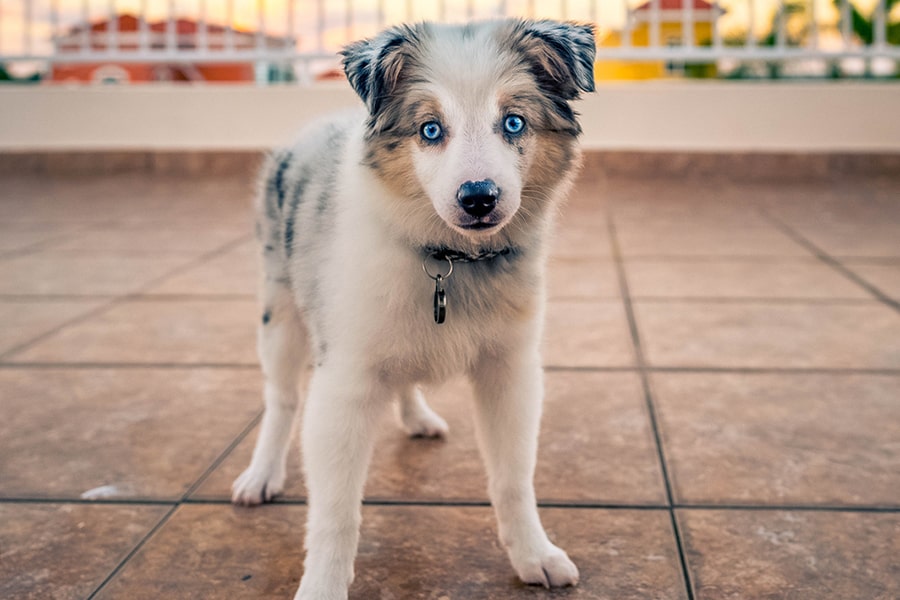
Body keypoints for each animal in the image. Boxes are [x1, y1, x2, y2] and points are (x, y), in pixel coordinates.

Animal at [232, 18, 596, 600]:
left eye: (514, 121)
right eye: (429, 129)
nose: (479, 197)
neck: (449, 258)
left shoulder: (511, 368)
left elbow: (513, 477)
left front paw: (535, 555)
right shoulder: (345, 381)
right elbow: (336, 511)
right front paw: (323, 585)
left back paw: (417, 417)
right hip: (280, 313)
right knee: (282, 398)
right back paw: (261, 474)